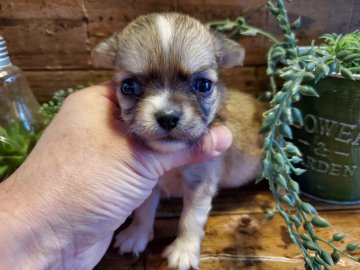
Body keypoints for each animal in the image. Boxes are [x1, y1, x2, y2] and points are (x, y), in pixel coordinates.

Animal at [91, 12, 262, 270]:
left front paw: (183, 251)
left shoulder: (200, 184)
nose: (168, 117)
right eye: (128, 86)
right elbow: (143, 211)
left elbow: (189, 220)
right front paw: (136, 235)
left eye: (204, 85)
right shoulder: (151, 184)